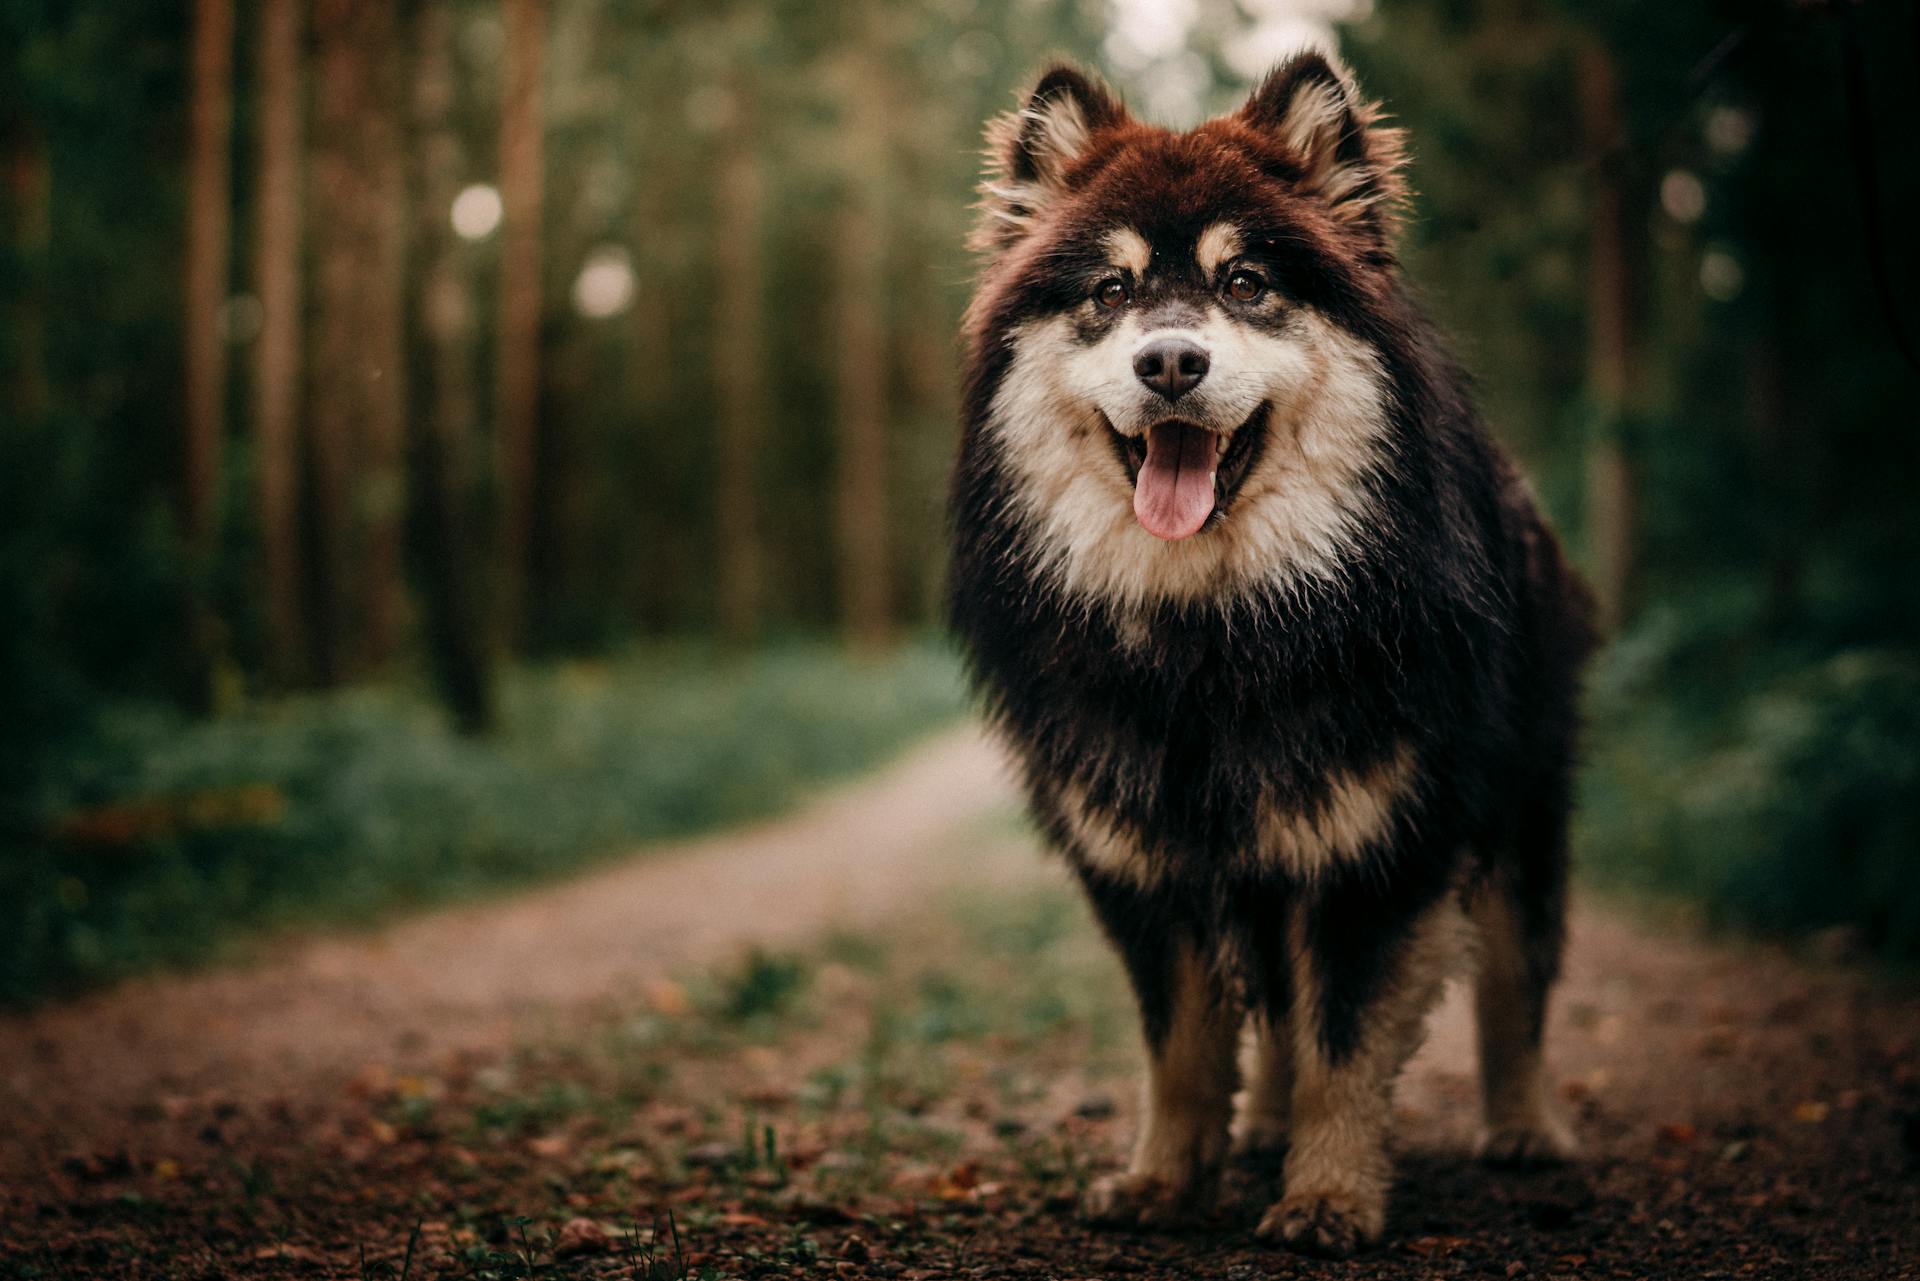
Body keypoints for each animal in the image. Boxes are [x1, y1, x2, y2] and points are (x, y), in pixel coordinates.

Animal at [940, 52, 1589, 1259]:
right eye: (1110, 294)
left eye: (1243, 283)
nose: (1170, 361)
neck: (1210, 633)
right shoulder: (1147, 861)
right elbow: (1184, 1047)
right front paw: (1164, 1179)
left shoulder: (1378, 845)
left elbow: (1347, 1041)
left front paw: (1329, 1195)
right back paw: (1263, 1129)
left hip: (1522, 804)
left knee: (1515, 981)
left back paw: (1524, 1127)